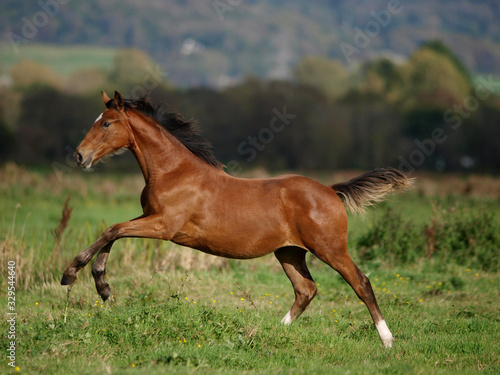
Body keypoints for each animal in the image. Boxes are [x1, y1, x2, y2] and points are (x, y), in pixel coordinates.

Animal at [60, 91, 412, 350]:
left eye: (106, 124)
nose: (79, 156)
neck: (173, 171)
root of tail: (331, 190)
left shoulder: (164, 226)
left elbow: (113, 230)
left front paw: (72, 274)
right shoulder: (151, 218)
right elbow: (113, 233)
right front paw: (102, 287)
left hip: (330, 248)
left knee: (361, 283)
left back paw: (387, 341)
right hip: (289, 252)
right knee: (306, 290)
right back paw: (272, 331)